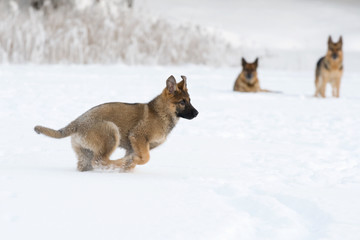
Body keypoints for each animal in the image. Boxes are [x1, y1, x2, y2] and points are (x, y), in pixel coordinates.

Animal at [34, 76, 198, 172]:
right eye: (182, 102)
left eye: (189, 100)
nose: (197, 113)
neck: (161, 112)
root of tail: (77, 122)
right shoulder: (138, 136)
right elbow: (145, 158)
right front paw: (129, 162)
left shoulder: (134, 146)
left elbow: (136, 162)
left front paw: (127, 168)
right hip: (111, 133)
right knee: (100, 161)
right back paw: (119, 162)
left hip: (85, 152)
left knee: (88, 165)